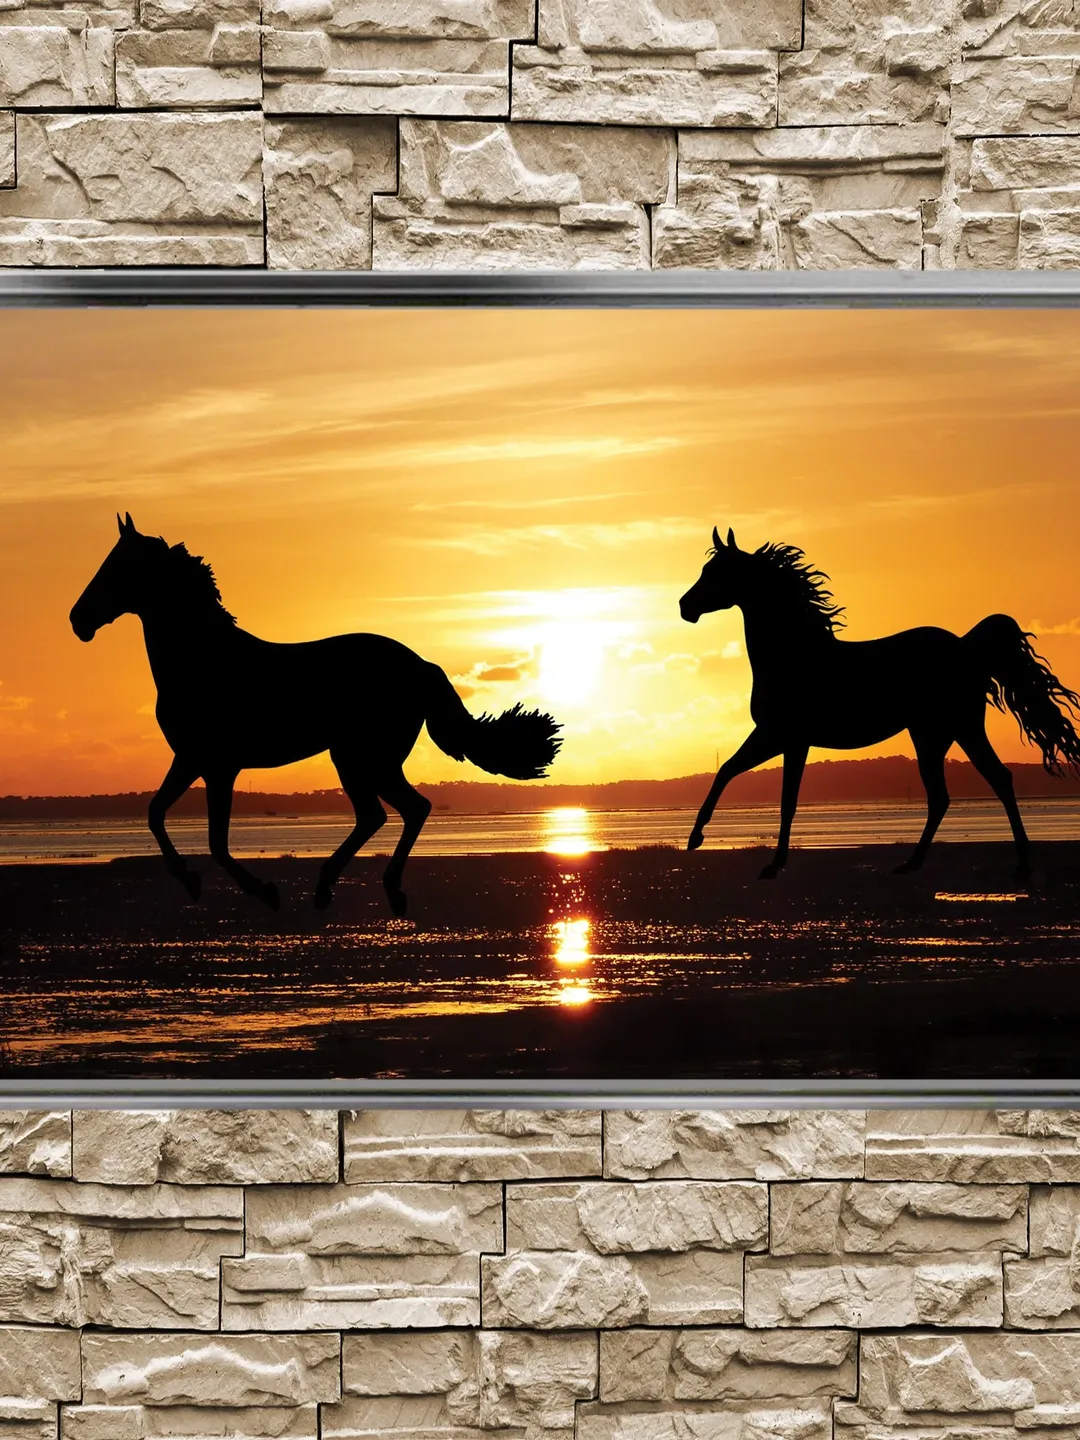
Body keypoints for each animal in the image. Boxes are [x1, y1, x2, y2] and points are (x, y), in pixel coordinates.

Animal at [70, 515, 561, 915]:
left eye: (118, 567)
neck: (204, 660)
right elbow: (156, 813)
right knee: (391, 812)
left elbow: (216, 844)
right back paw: (354, 888)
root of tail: (420, 664)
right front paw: (191, 882)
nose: (78, 620)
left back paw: (356, 889)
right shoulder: (191, 760)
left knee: (397, 810)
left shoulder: (219, 767)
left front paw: (265, 892)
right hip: (365, 759)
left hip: (362, 758)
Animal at [679, 526, 1080, 882]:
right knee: (956, 791)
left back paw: (1017, 867)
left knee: (983, 783)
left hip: (954, 729)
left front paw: (768, 864)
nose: (685, 606)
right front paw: (697, 838)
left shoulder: (787, 738)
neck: (794, 655)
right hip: (939, 735)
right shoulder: (775, 736)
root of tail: (967, 647)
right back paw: (918, 864)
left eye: (716, 572)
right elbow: (727, 771)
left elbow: (784, 800)